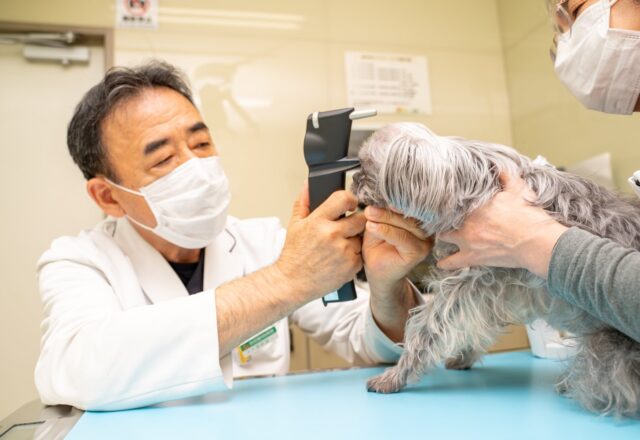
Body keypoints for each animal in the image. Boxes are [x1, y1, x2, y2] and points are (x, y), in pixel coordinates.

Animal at [352, 122, 636, 418]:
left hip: (605, 356)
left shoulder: (471, 279)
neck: (461, 180)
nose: (353, 181)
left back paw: (569, 385)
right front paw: (464, 356)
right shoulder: (493, 288)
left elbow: (427, 326)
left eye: (365, 166)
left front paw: (396, 375)